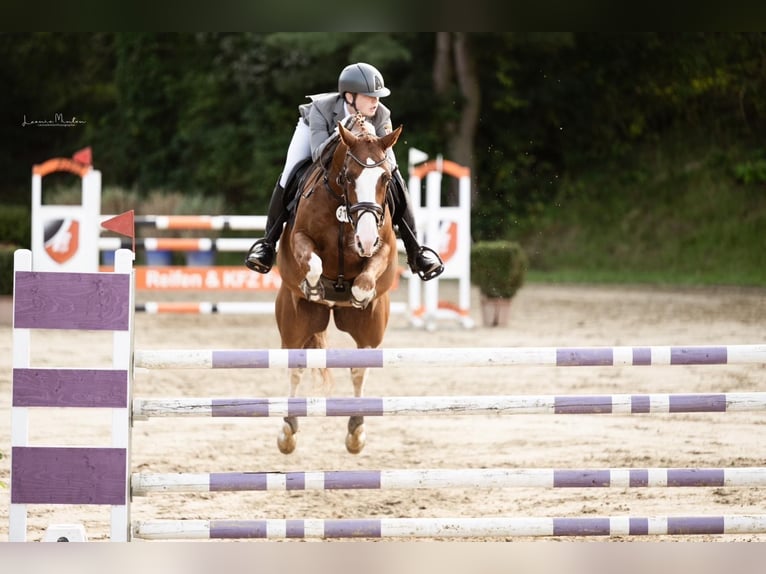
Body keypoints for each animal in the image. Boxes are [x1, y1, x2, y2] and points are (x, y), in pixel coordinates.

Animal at [274, 119, 402, 456]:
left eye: (385, 178)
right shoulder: (300, 238)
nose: (366, 240)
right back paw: (287, 430)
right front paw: (316, 287)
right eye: (348, 177)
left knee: (359, 368)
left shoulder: (384, 248)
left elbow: (366, 279)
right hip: (295, 321)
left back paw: (356, 430)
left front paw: (357, 294)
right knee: (295, 366)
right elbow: (313, 263)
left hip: (371, 329)